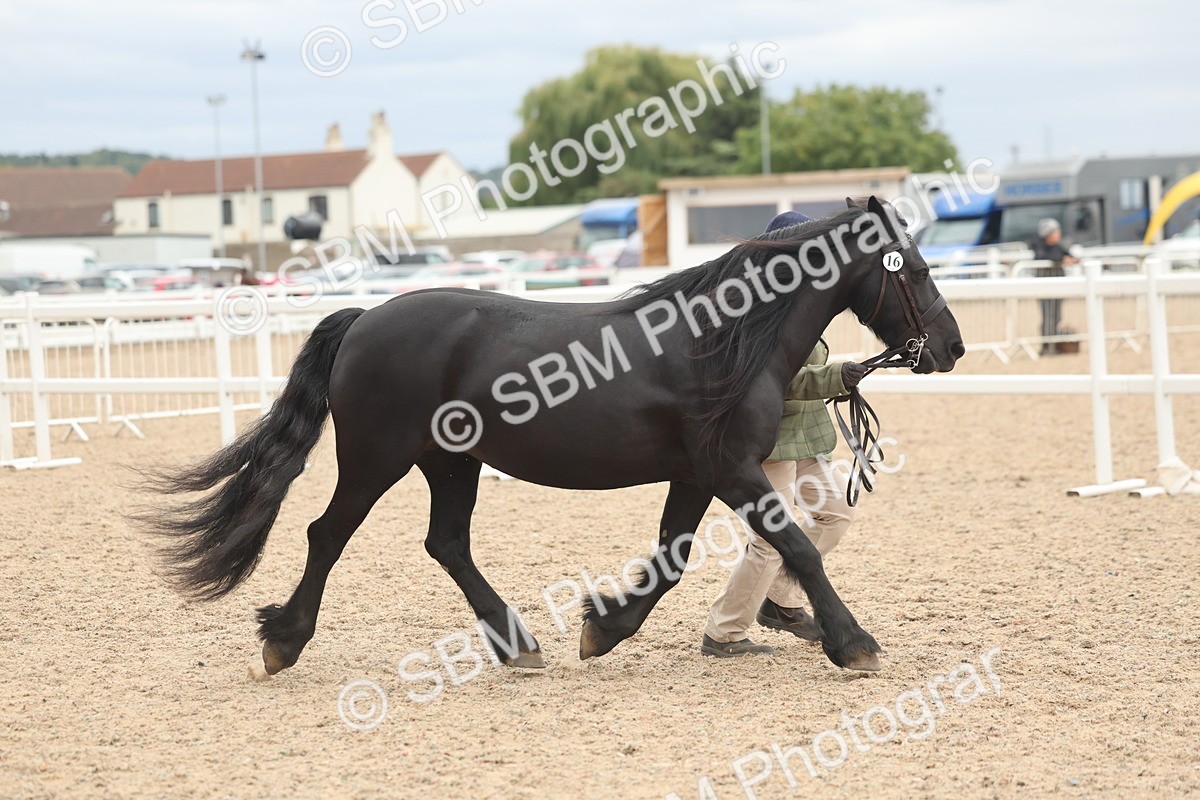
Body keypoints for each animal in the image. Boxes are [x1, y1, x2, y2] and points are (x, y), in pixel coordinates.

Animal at [142, 196, 963, 678]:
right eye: (919, 267)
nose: (950, 347)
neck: (722, 342)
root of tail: (366, 317)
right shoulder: (731, 469)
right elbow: (796, 548)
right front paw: (853, 643)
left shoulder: (696, 473)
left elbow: (671, 560)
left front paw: (605, 627)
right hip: (378, 459)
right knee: (327, 533)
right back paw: (284, 639)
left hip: (451, 464)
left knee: (446, 544)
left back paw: (518, 644)